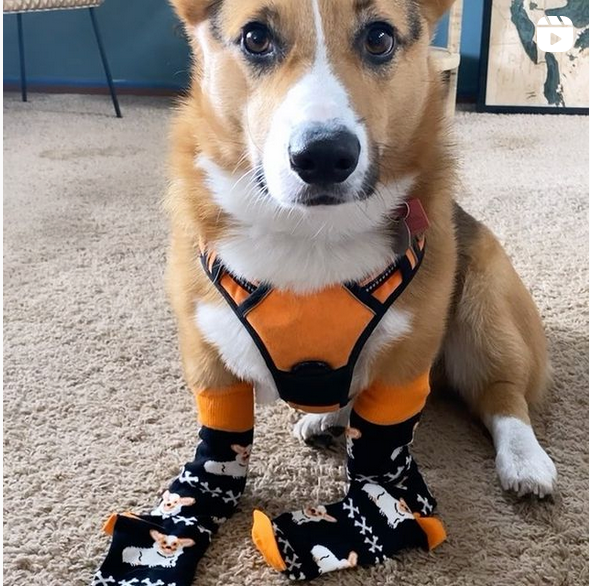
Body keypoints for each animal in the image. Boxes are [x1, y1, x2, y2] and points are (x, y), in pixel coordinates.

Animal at [168, 1, 560, 498]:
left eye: (379, 38)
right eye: (255, 38)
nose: (322, 156)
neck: (310, 235)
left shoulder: (404, 365)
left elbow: (379, 452)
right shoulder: (209, 361)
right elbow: (221, 441)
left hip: (485, 307)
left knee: (503, 393)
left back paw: (526, 462)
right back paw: (329, 419)